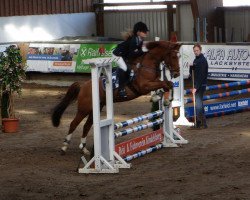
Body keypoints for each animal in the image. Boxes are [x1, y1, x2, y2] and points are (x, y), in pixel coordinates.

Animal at [51, 41, 181, 155]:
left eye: (179, 56)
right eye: (173, 56)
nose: (177, 74)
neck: (147, 64)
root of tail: (83, 86)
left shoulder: (154, 82)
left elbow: (167, 84)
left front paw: (162, 99)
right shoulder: (143, 86)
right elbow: (165, 84)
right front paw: (161, 98)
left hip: (96, 108)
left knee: (86, 125)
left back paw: (84, 149)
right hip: (84, 108)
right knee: (73, 124)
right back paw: (64, 147)